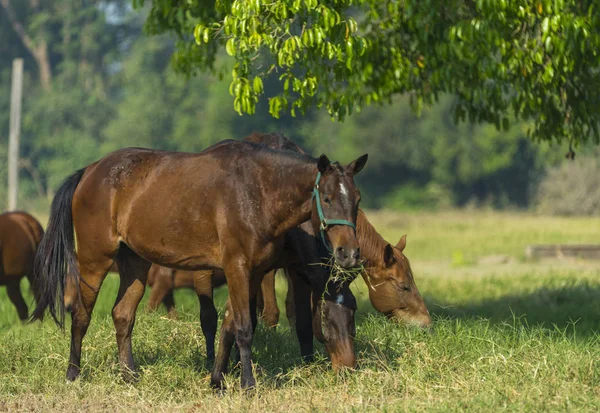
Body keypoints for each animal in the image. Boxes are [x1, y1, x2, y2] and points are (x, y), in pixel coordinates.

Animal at [34, 140, 370, 388]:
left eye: (357, 198)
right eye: (327, 198)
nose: (349, 253)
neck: (257, 191)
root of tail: (90, 170)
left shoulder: (253, 273)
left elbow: (231, 325)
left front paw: (217, 380)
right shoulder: (237, 267)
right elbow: (244, 328)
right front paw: (248, 385)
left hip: (135, 264)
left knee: (123, 315)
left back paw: (129, 375)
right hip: (95, 260)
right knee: (81, 315)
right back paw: (73, 374)